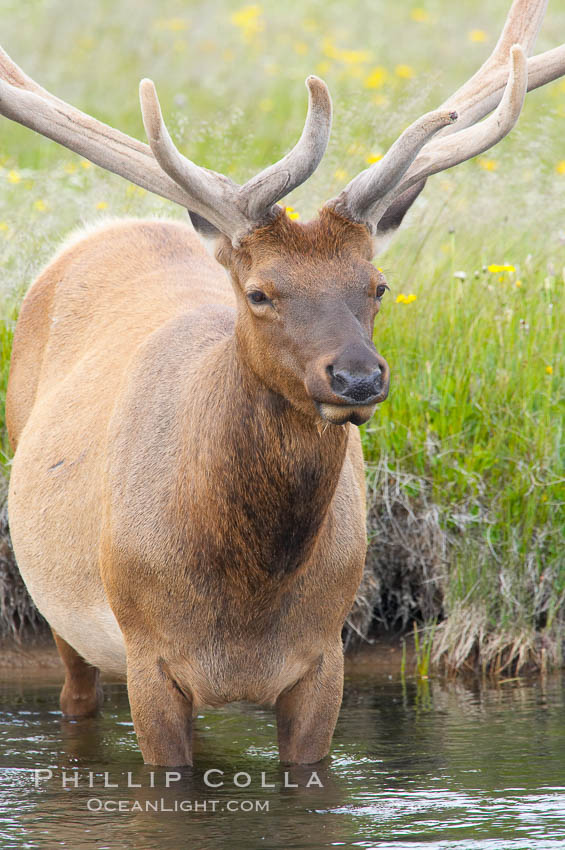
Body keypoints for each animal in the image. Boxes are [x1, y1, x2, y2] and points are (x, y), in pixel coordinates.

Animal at [1, 0, 564, 764]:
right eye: (261, 292)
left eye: (377, 284)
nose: (356, 376)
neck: (246, 601)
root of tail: (104, 229)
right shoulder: (148, 657)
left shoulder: (324, 658)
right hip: (58, 606)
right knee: (75, 700)